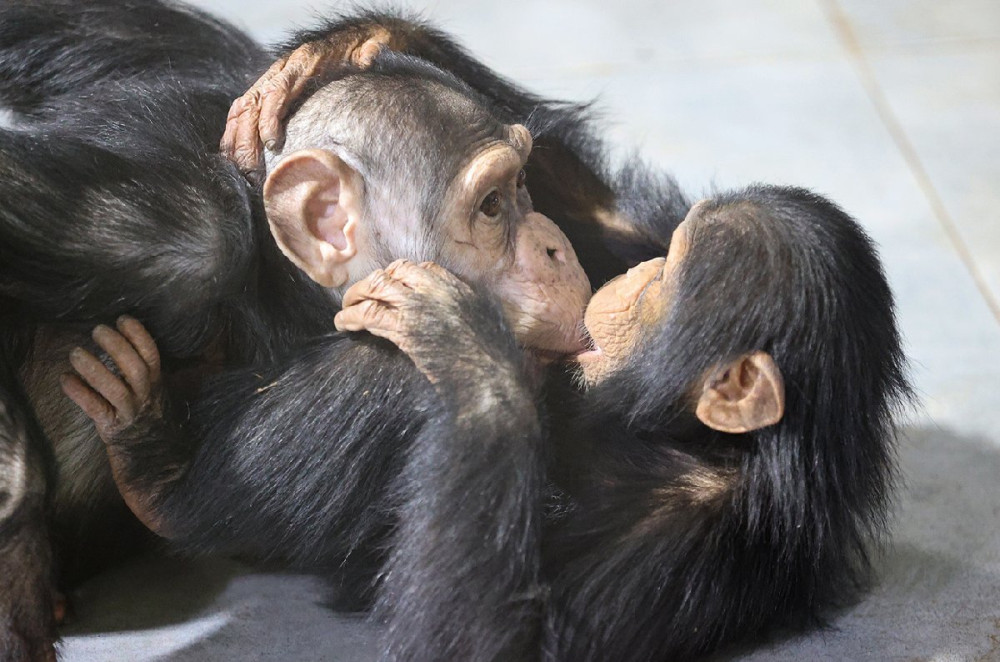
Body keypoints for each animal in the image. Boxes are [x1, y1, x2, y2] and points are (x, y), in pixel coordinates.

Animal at [76, 184, 908, 660]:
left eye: (665, 284)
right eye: (663, 257)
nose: (639, 275)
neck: (680, 437)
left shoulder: (690, 538)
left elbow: (491, 646)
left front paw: (464, 339)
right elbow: (597, 218)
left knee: (395, 377)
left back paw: (161, 471)